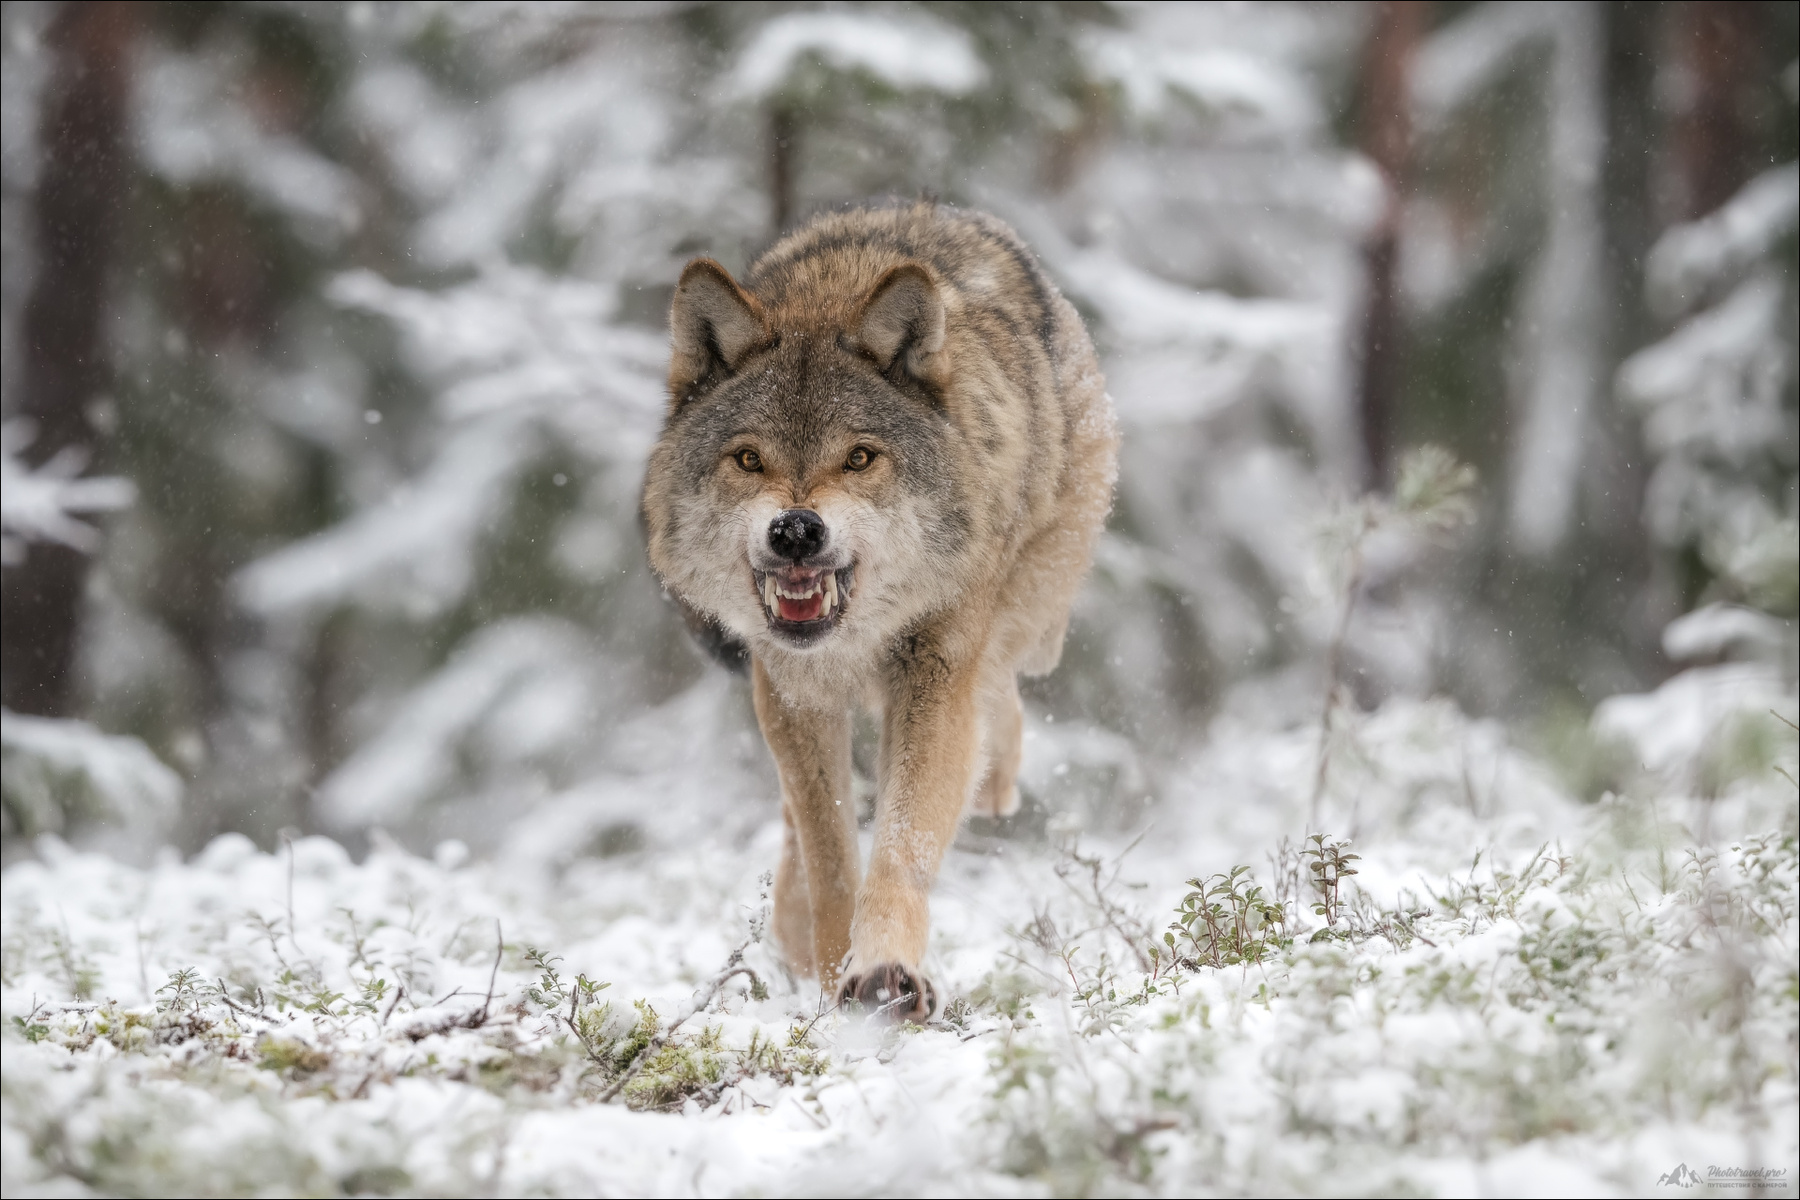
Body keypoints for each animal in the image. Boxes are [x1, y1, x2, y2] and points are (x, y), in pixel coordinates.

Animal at [642, 202, 1117, 1020]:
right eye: (749, 459)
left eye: (859, 457)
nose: (796, 530)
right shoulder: (793, 695)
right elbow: (831, 855)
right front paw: (834, 977)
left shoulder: (935, 671)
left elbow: (901, 843)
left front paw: (885, 971)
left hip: (1031, 611)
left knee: (1002, 692)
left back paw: (995, 781)